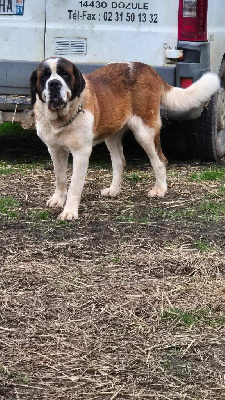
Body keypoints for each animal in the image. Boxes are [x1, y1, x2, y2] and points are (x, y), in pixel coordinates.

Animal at [30, 56, 220, 220]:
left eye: (65, 74)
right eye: (44, 76)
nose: (54, 83)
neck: (61, 120)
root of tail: (147, 68)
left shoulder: (81, 153)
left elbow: (75, 185)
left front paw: (69, 211)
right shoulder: (55, 150)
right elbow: (60, 178)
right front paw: (58, 199)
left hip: (145, 132)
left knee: (160, 160)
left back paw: (159, 189)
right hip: (112, 136)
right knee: (119, 161)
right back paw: (114, 190)